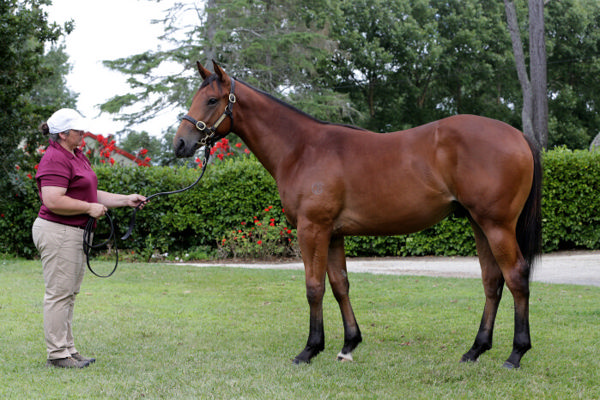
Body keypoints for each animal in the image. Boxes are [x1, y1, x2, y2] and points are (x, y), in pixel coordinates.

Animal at [173, 60, 544, 368]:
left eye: (211, 100)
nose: (180, 144)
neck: (302, 149)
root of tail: (518, 136)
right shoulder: (333, 233)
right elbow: (340, 285)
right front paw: (348, 344)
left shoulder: (312, 229)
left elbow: (314, 287)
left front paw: (310, 349)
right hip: (479, 224)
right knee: (492, 281)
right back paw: (476, 350)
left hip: (497, 226)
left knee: (516, 276)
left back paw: (516, 353)